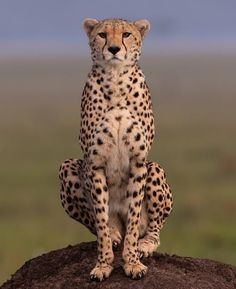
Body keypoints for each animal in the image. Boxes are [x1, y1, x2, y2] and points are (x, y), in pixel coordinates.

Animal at [59, 18, 173, 280]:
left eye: (126, 34)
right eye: (102, 34)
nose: (113, 49)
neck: (115, 79)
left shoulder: (139, 161)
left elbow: (133, 219)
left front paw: (132, 262)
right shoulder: (94, 163)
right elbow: (100, 219)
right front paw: (103, 264)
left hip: (155, 168)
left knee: (153, 227)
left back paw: (146, 243)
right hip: (67, 167)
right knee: (97, 222)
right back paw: (113, 233)